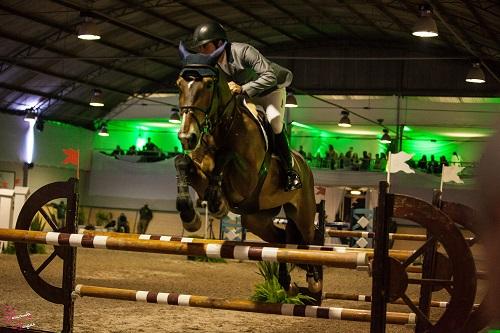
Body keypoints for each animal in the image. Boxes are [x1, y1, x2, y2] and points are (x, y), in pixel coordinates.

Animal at [175, 42, 324, 300]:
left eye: (208, 84)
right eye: (179, 84)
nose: (187, 136)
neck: (223, 127)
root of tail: (304, 164)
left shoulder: (246, 179)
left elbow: (226, 157)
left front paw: (217, 202)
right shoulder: (200, 170)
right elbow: (182, 162)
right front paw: (190, 217)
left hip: (303, 212)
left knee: (309, 240)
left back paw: (313, 282)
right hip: (256, 218)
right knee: (281, 239)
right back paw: (287, 283)